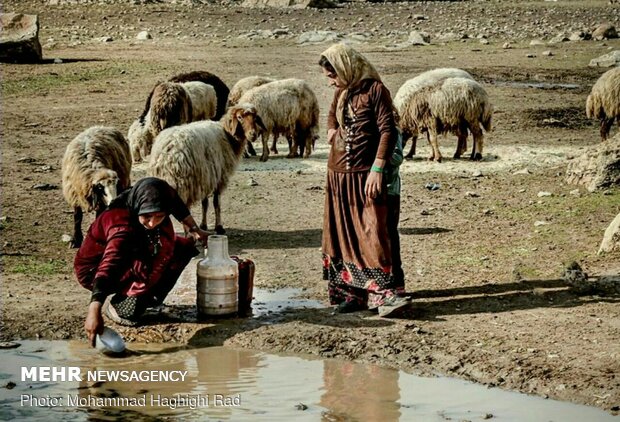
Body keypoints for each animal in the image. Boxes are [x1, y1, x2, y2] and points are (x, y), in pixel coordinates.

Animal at [150, 103, 266, 232]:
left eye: (255, 118)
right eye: (240, 117)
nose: (253, 134)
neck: (228, 136)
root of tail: (167, 155)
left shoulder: (206, 177)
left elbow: (205, 203)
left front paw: (203, 225)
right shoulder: (218, 177)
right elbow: (216, 203)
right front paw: (219, 227)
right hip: (183, 184)